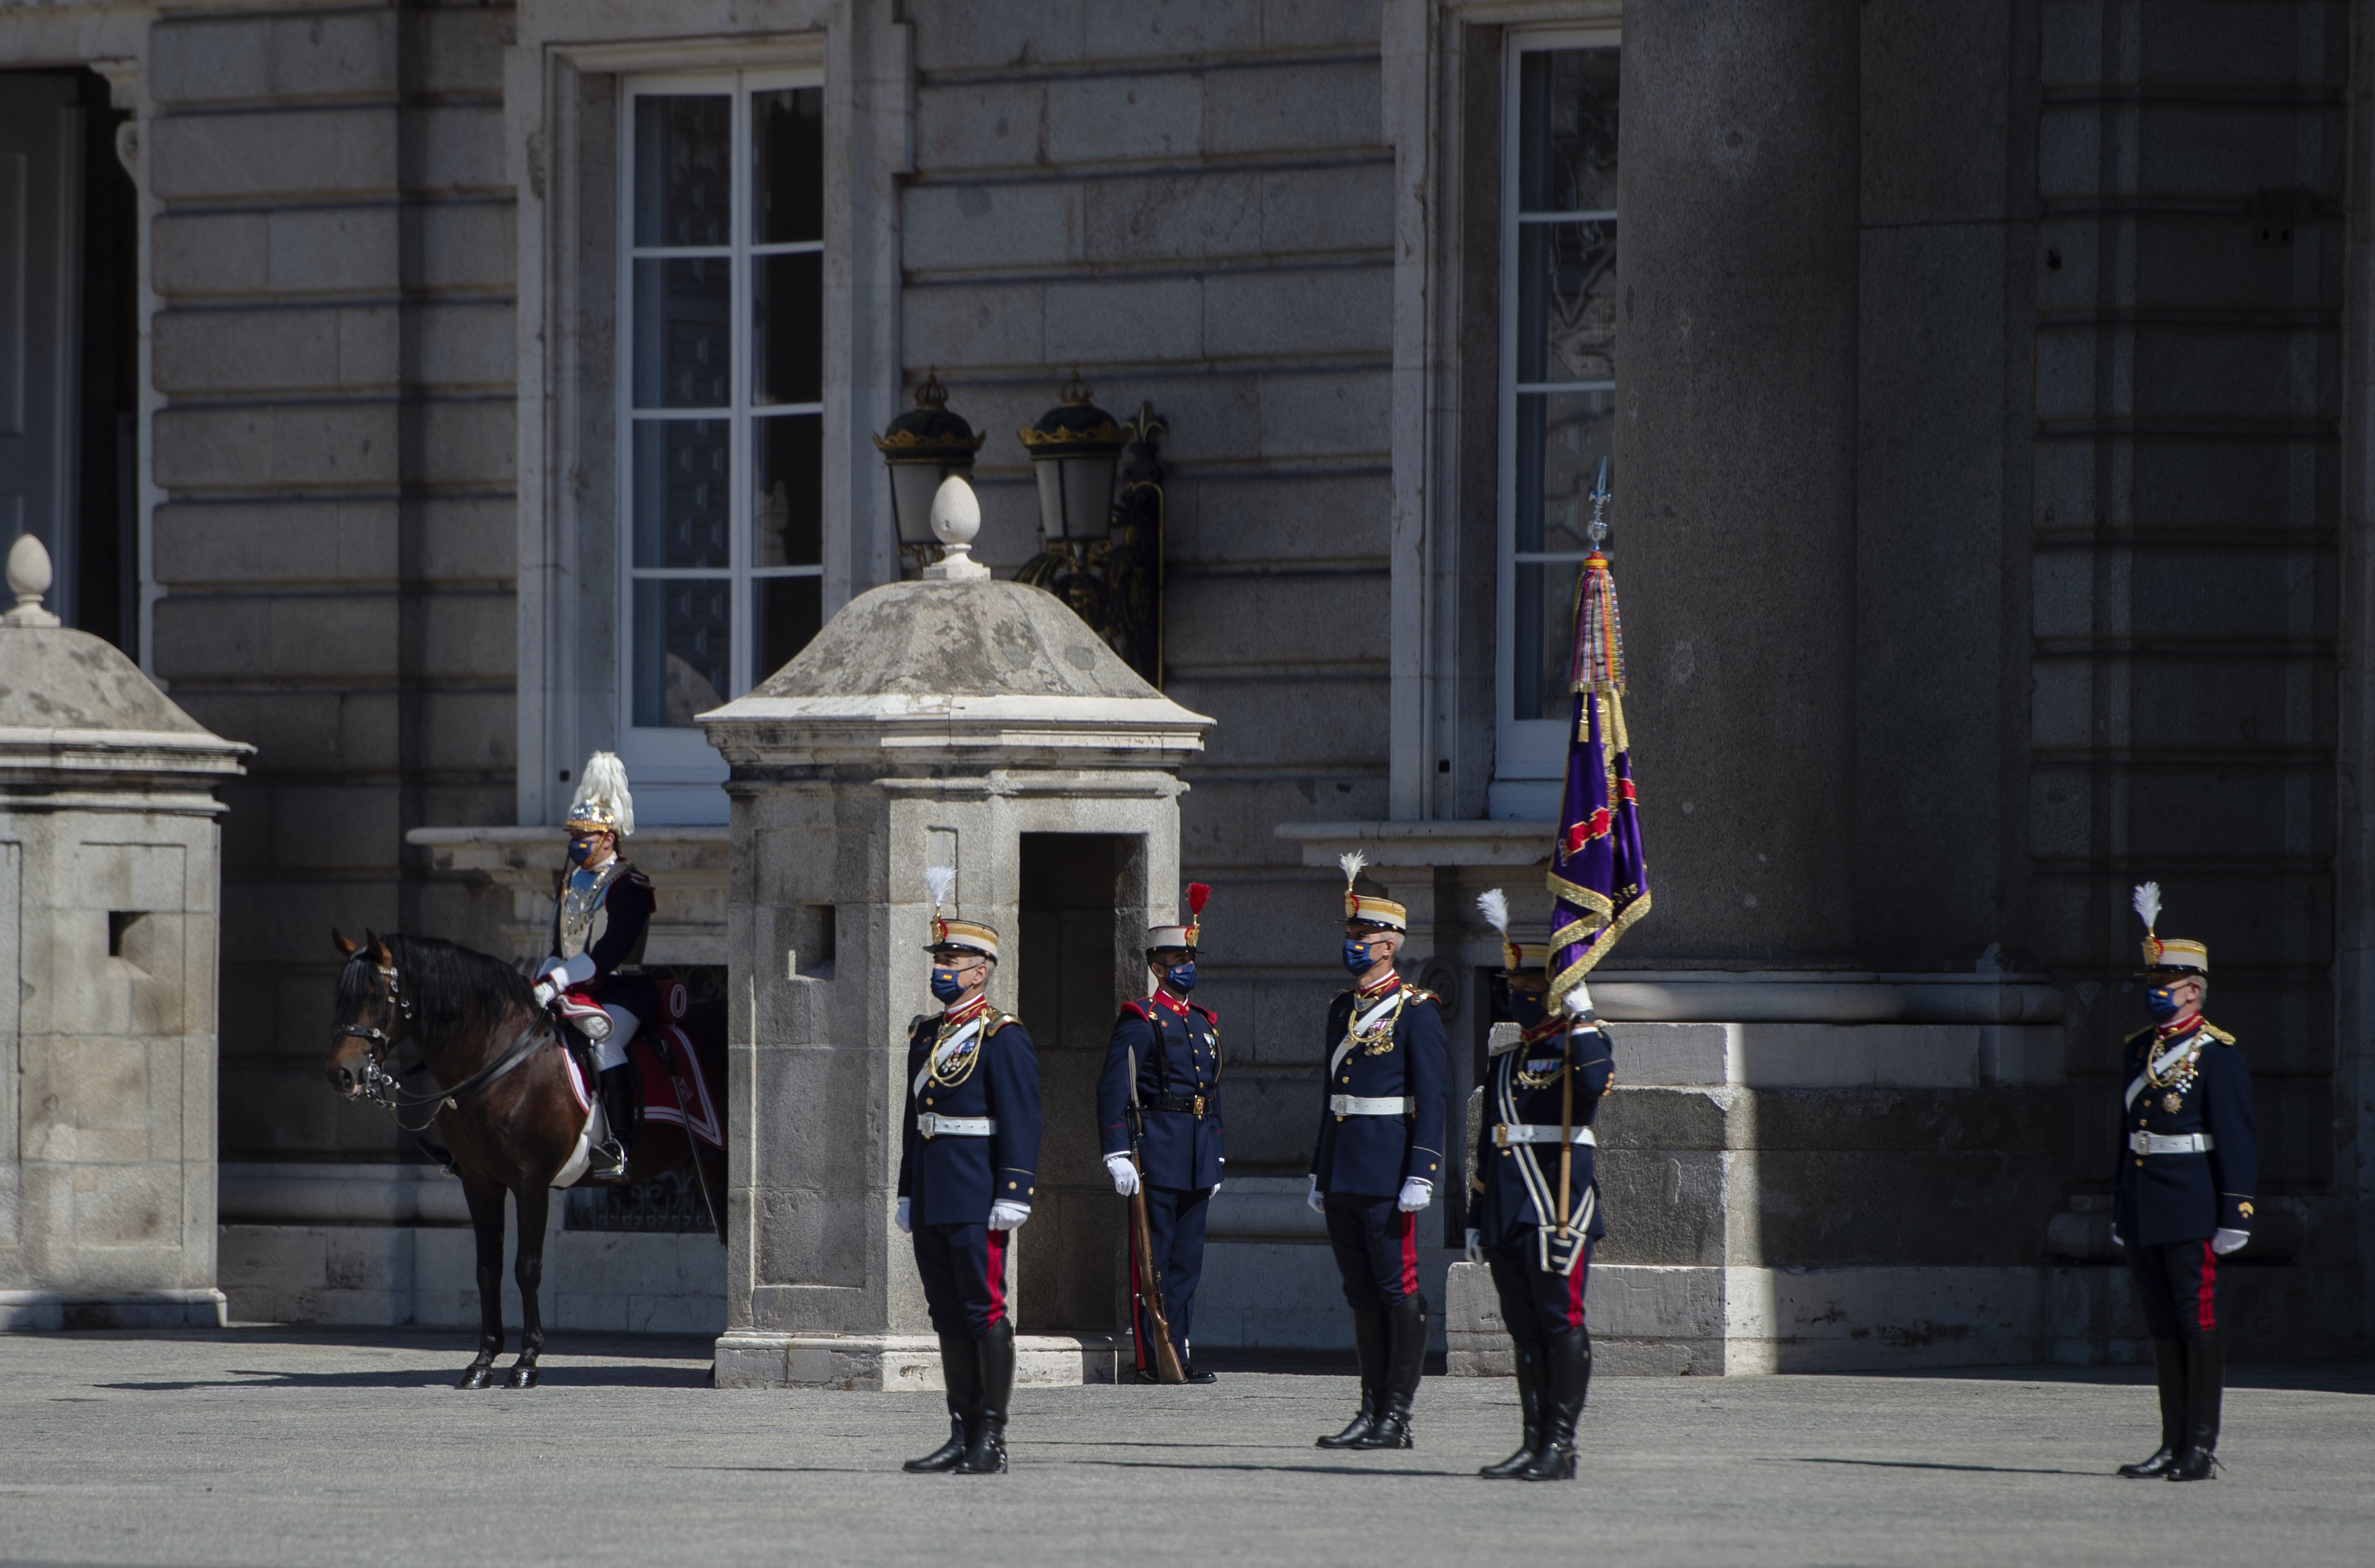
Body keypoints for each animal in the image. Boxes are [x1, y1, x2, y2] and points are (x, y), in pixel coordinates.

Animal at [321, 931, 722, 1387]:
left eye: (374, 993)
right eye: (340, 996)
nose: (342, 1074)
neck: (497, 1061)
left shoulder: (532, 1182)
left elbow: (527, 1267)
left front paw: (527, 1361)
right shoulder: (479, 1184)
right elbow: (488, 1269)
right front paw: (482, 1362)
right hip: (707, 1165)